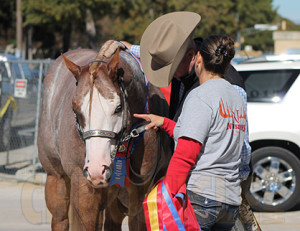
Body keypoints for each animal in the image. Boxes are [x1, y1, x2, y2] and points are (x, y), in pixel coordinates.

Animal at [38, 46, 171, 230]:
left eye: (118, 108)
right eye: (75, 109)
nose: (96, 168)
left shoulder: (140, 194)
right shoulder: (84, 190)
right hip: (56, 178)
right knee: (60, 219)